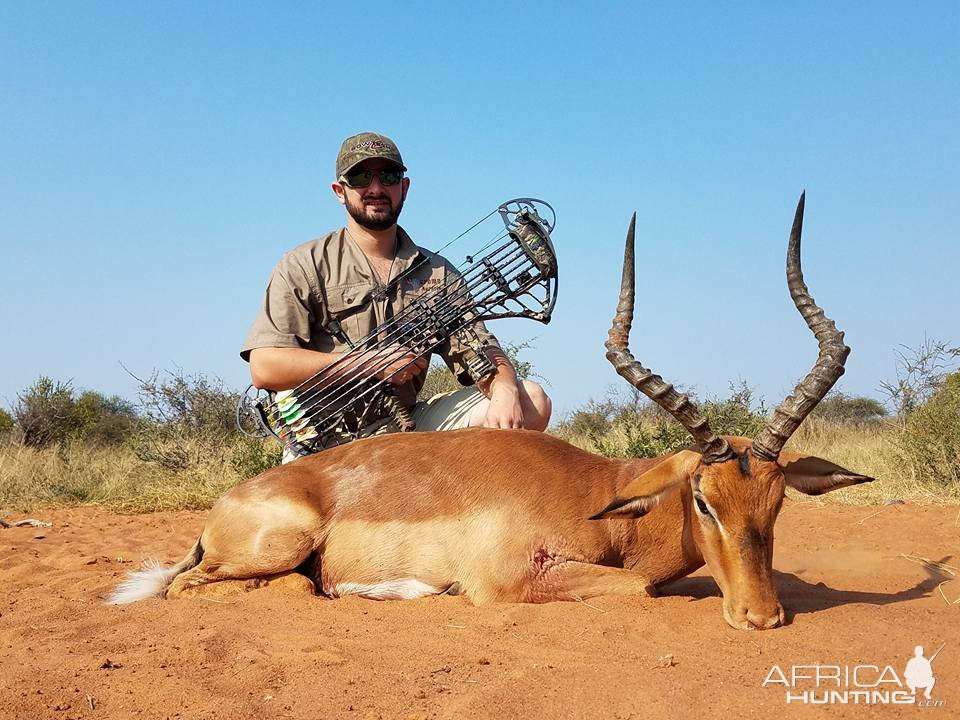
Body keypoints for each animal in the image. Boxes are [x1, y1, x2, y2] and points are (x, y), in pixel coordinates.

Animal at [109, 193, 872, 632]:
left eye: (777, 500)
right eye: (704, 500)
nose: (762, 617)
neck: (599, 495)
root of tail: (226, 505)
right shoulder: (515, 580)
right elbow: (635, 588)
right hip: (279, 549)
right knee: (205, 587)